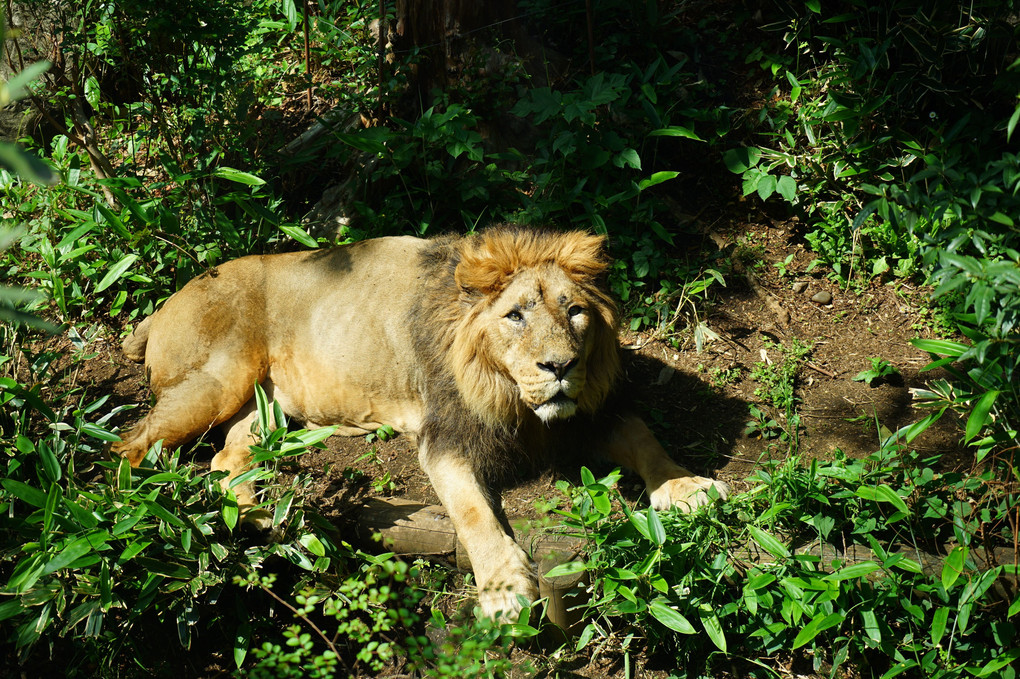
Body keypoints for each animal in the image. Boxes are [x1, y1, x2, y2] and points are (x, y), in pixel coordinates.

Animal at [113, 224, 726, 615]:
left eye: (574, 311)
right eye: (515, 316)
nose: (560, 367)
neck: (516, 399)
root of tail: (166, 302)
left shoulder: (592, 412)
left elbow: (646, 438)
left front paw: (685, 487)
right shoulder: (445, 438)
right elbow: (473, 511)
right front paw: (503, 587)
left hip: (266, 409)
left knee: (224, 462)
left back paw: (269, 523)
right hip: (218, 378)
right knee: (129, 447)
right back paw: (137, 519)